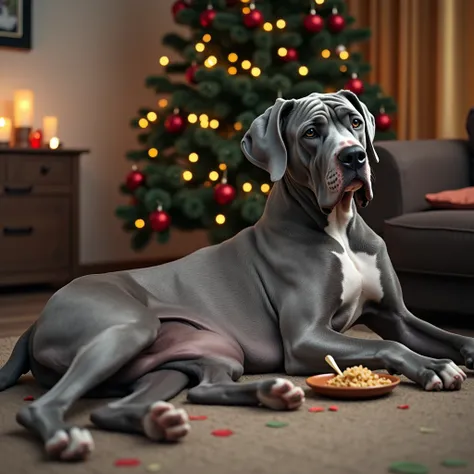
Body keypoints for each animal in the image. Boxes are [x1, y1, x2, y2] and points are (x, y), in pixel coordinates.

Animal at [0, 89, 474, 460]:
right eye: (311, 133)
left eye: (355, 123)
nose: (355, 156)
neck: (338, 227)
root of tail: (39, 319)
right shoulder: (305, 339)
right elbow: (389, 345)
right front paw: (433, 368)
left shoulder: (396, 314)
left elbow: (444, 335)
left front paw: (456, 354)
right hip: (129, 328)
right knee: (41, 405)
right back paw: (65, 436)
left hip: (198, 356)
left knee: (171, 395)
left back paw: (230, 404)